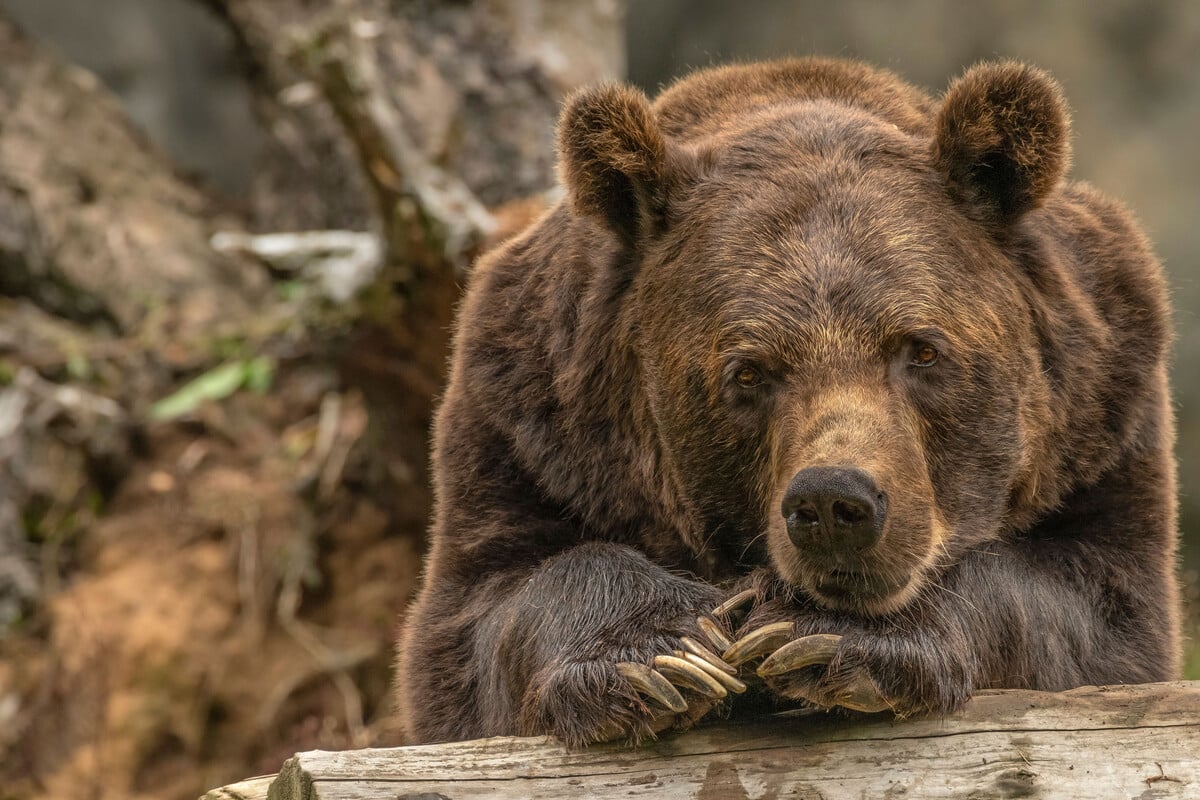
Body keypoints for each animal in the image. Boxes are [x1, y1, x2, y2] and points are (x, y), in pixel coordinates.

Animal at [396, 59, 1180, 748]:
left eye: (921, 349)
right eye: (748, 371)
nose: (834, 503)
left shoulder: (1102, 415)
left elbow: (1092, 608)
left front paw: (824, 635)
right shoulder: (529, 428)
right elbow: (485, 613)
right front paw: (664, 655)